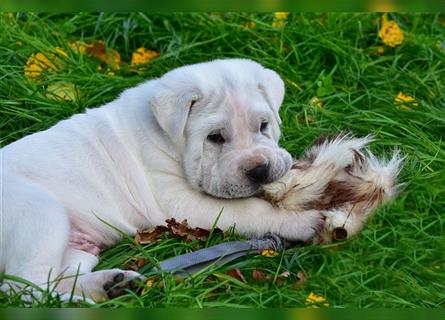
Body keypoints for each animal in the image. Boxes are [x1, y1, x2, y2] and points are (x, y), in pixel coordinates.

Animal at [0, 58, 322, 302]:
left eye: (264, 125)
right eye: (214, 137)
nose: (260, 170)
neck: (167, 138)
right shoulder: (182, 203)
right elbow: (249, 210)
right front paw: (304, 221)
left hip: (76, 250)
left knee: (51, 280)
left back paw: (112, 284)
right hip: (40, 212)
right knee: (23, 288)